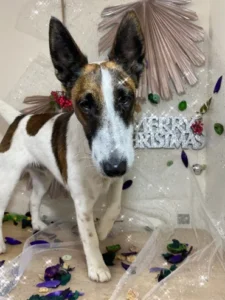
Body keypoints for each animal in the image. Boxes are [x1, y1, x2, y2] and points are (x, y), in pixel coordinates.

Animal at [0, 11, 145, 282]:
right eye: (85, 104)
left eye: (125, 98)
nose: (114, 167)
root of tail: (19, 119)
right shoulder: (82, 202)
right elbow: (88, 235)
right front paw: (97, 265)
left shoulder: (117, 180)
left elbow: (114, 207)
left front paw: (103, 229)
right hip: (7, 178)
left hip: (43, 177)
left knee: (33, 200)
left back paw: (37, 225)